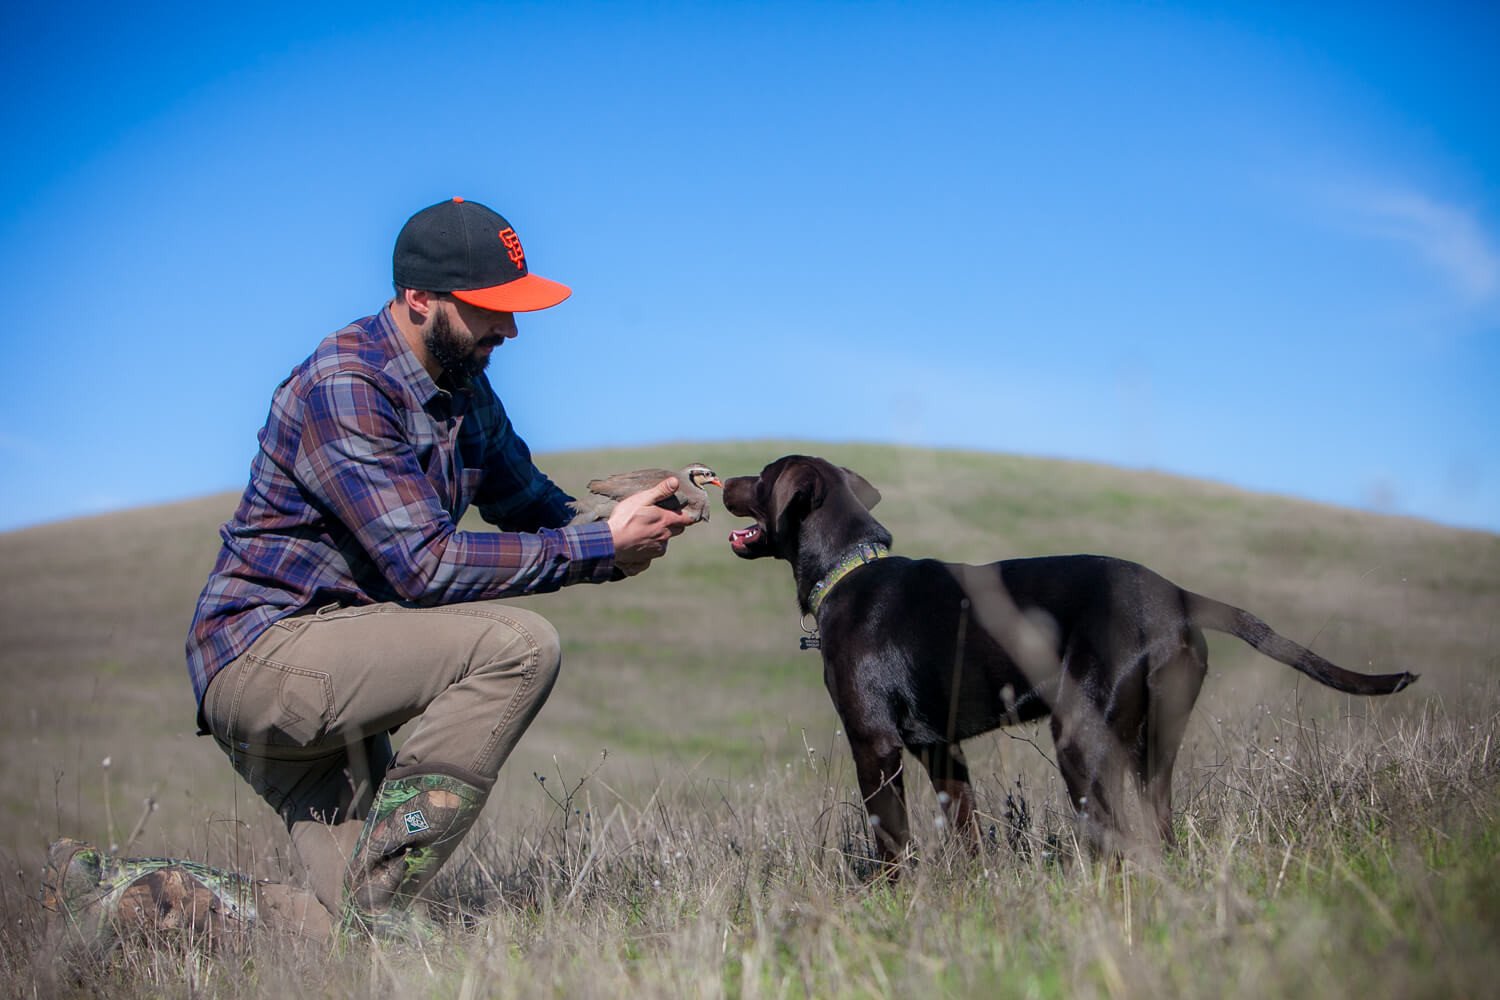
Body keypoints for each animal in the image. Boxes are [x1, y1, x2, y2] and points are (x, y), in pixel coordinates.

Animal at [723, 458, 1416, 863]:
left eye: (760, 476)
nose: (721, 480)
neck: (850, 568)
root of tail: (1179, 596)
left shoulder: (876, 744)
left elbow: (889, 844)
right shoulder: (942, 750)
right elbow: (967, 835)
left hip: (1081, 737)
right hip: (1151, 746)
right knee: (1157, 829)